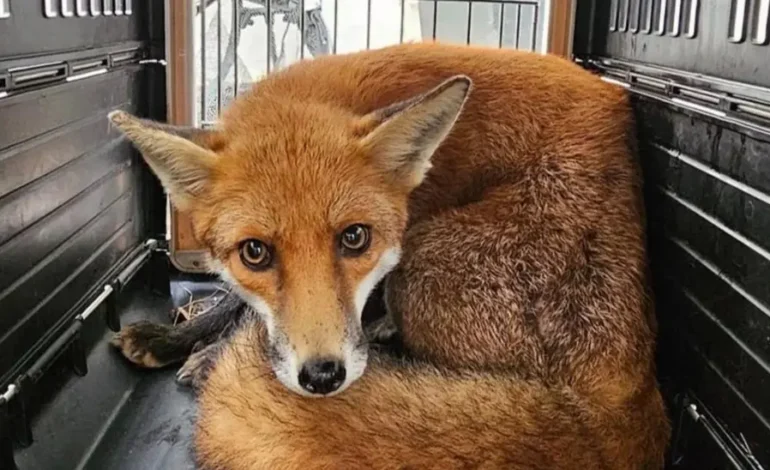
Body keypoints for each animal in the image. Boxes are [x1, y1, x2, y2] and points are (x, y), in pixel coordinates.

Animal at [108, 42, 671, 469]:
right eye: (255, 253)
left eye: (355, 238)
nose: (322, 378)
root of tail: (622, 402)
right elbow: (234, 300)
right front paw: (172, 337)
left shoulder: (398, 244)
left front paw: (209, 352)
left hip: (425, 257)